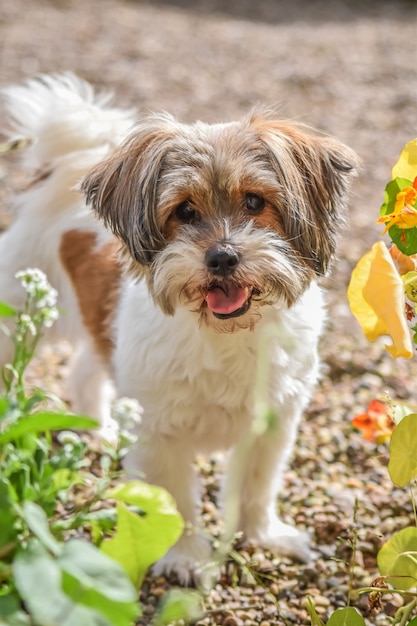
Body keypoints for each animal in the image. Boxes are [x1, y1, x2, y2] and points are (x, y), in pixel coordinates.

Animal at [0, 75, 358, 584]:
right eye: (185, 211)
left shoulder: (272, 423)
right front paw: (185, 557)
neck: (227, 334)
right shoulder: (159, 431)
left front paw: (265, 536)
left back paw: (102, 430)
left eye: (255, 201)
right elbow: (174, 501)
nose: (222, 256)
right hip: (16, 314)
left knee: (85, 372)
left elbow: (257, 486)